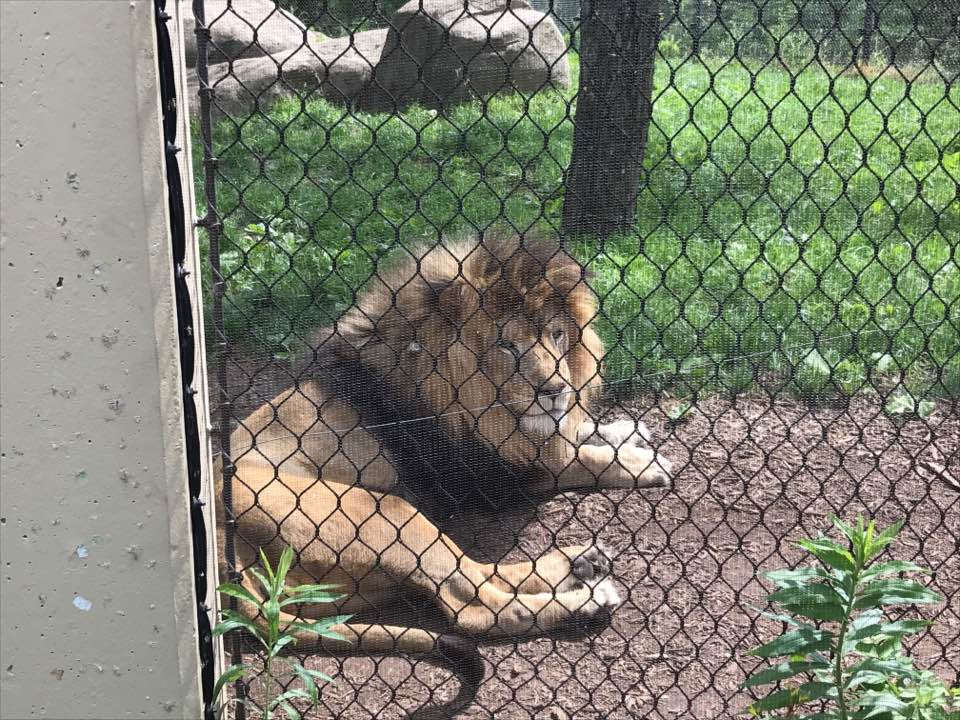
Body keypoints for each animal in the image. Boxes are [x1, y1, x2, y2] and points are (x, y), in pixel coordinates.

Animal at [217, 235, 672, 718]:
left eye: (557, 334)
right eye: (508, 345)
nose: (555, 390)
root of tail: (223, 554)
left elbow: (574, 431)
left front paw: (626, 430)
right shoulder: (489, 474)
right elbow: (575, 457)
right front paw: (644, 463)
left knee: (478, 572)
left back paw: (581, 560)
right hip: (387, 513)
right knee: (478, 607)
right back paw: (588, 598)